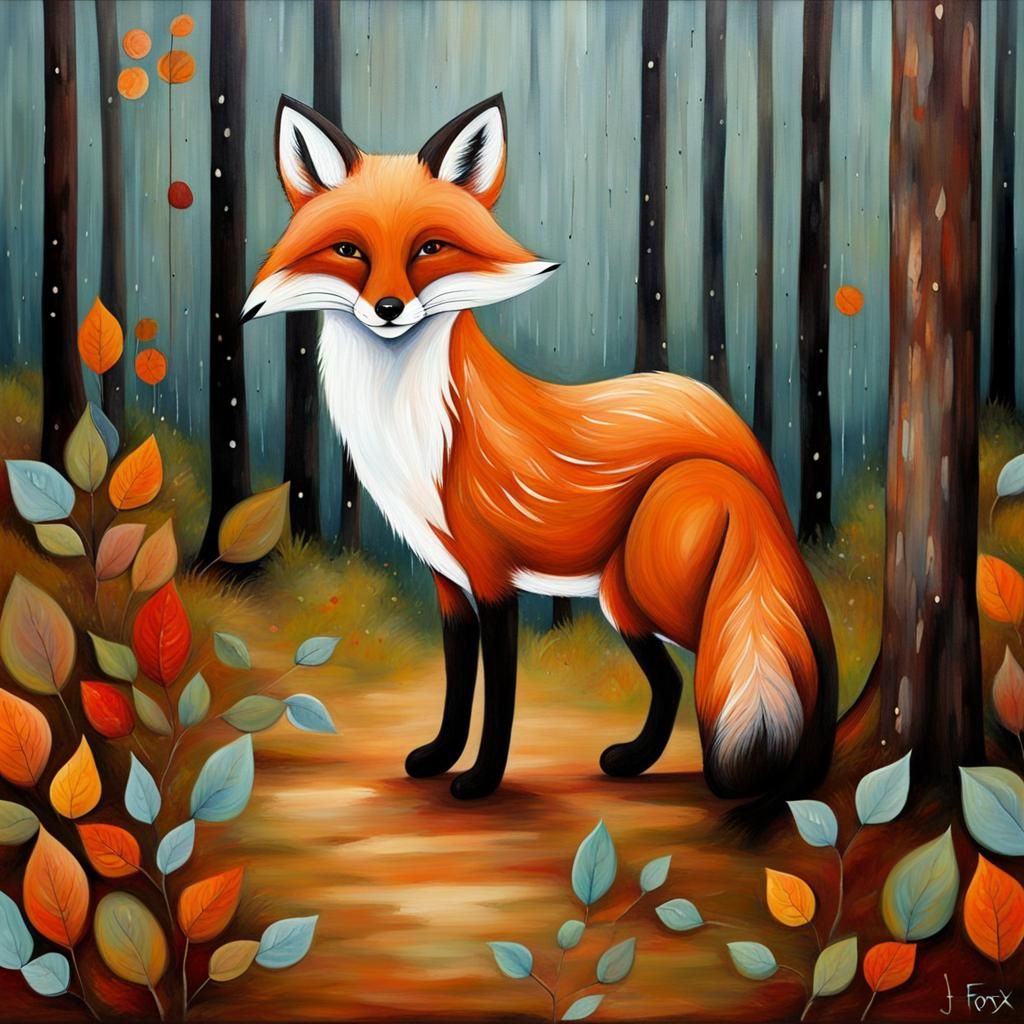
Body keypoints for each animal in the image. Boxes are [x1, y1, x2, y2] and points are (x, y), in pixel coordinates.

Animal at [241, 93, 838, 803]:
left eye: (430, 248)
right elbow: (458, 682)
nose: (388, 308)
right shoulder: (449, 577)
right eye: (348, 250)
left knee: (754, 655)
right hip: (620, 596)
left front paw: (480, 780)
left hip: (656, 581)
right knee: (679, 676)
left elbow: (499, 694)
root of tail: (741, 439)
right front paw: (440, 756)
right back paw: (643, 761)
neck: (416, 431)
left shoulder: (493, 577)